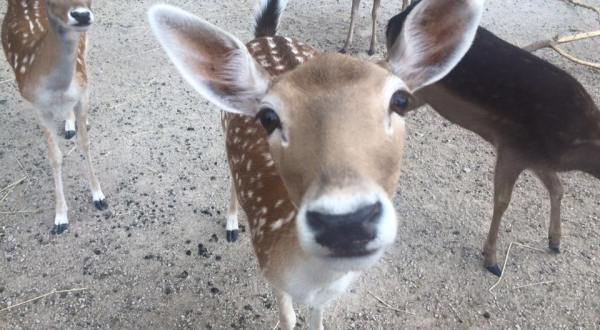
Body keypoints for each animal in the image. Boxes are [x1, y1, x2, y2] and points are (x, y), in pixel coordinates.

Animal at [149, 0, 482, 328]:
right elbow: (289, 318)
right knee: (231, 175)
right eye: (267, 117)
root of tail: (267, 35)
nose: (346, 222)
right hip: (222, 123)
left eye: (401, 100)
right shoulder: (270, 268)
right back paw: (231, 225)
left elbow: (317, 316)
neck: (312, 277)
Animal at [384, 1, 600, 278]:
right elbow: (502, 201)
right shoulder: (512, 148)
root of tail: (395, 20)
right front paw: (492, 261)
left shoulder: (536, 158)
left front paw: (555, 242)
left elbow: (558, 188)